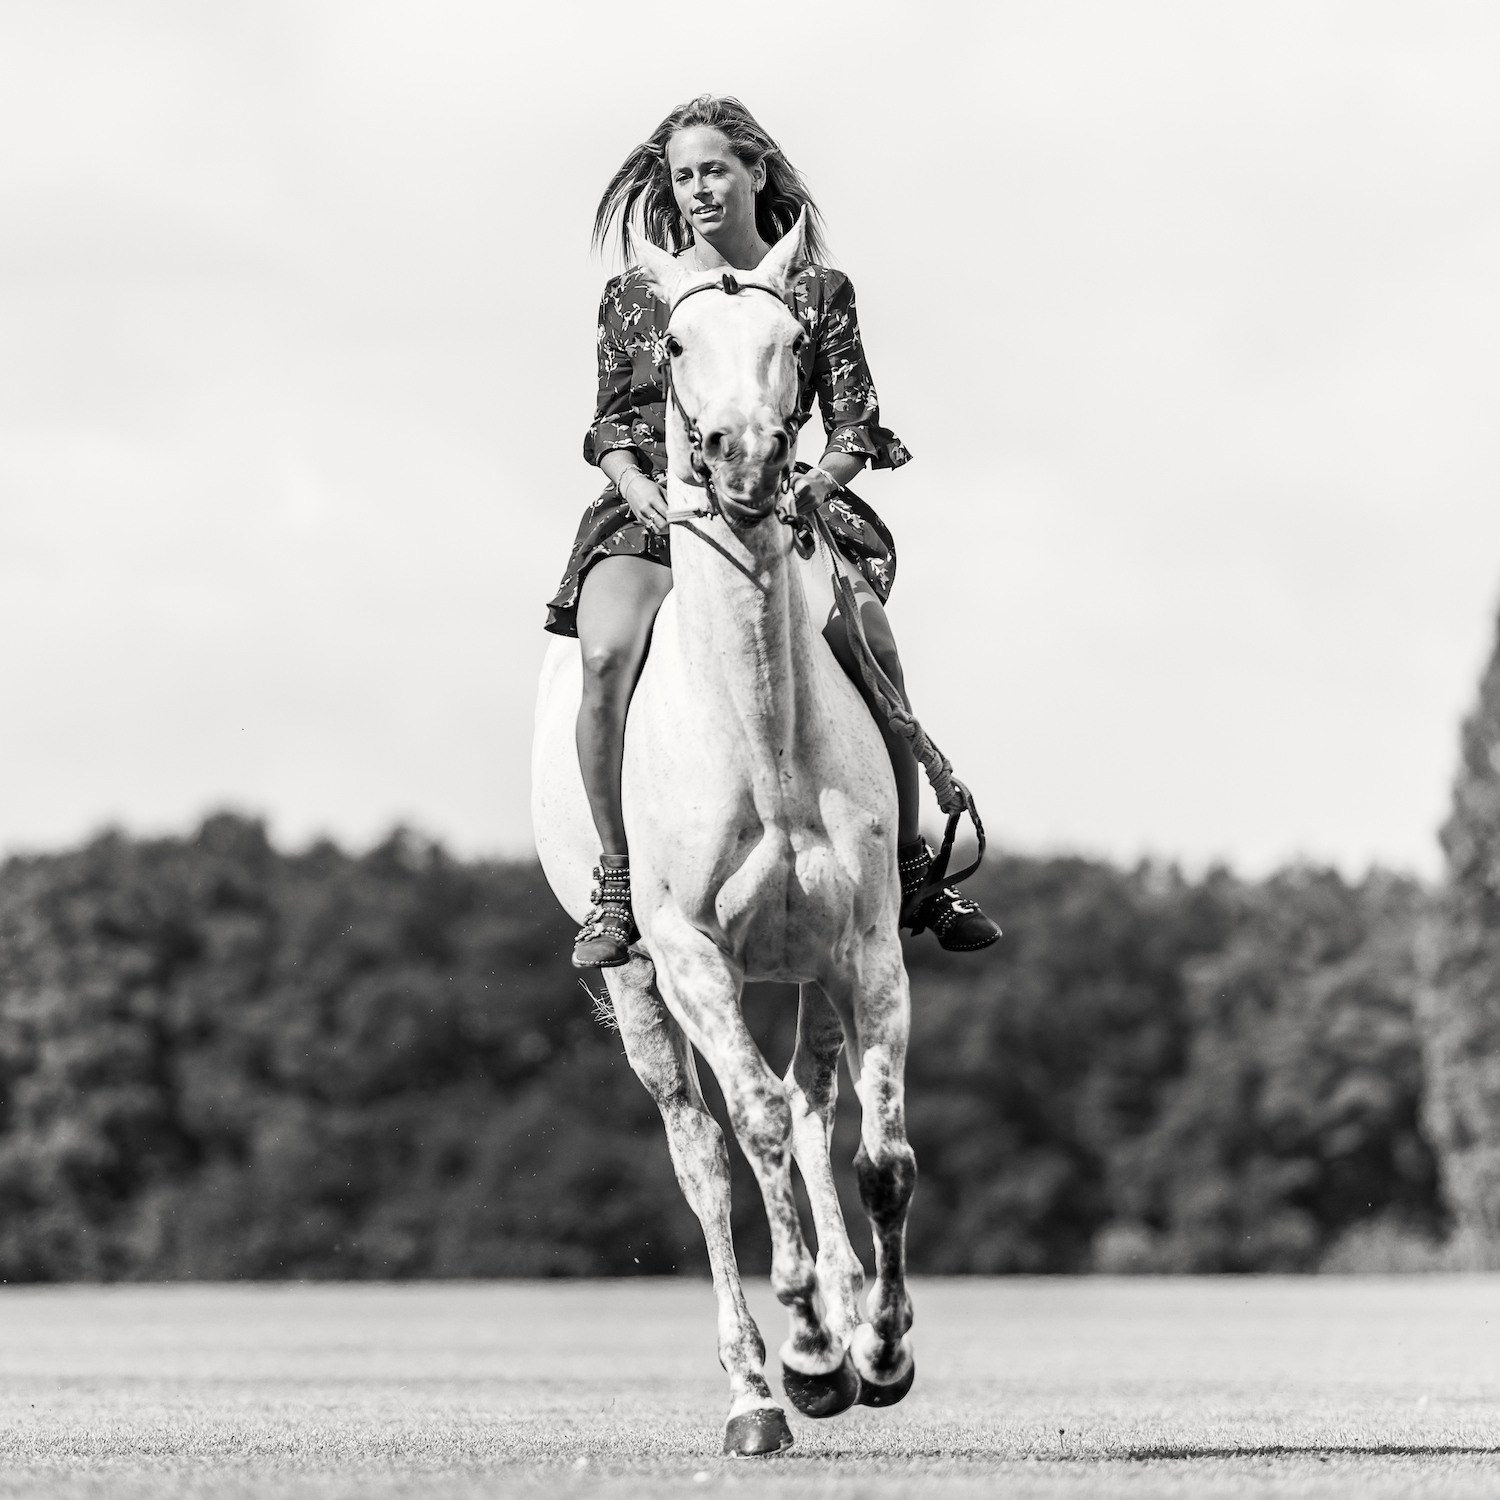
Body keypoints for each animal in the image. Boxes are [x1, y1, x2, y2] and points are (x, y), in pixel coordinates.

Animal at [531, 212, 917, 1457]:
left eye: (796, 340)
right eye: (673, 342)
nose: (746, 458)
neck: (761, 736)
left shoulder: (868, 952)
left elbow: (878, 1158)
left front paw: (877, 1351)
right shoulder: (693, 960)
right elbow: (748, 1133)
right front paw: (810, 1361)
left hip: (809, 973)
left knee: (815, 1110)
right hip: (646, 990)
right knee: (704, 1153)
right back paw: (756, 1391)